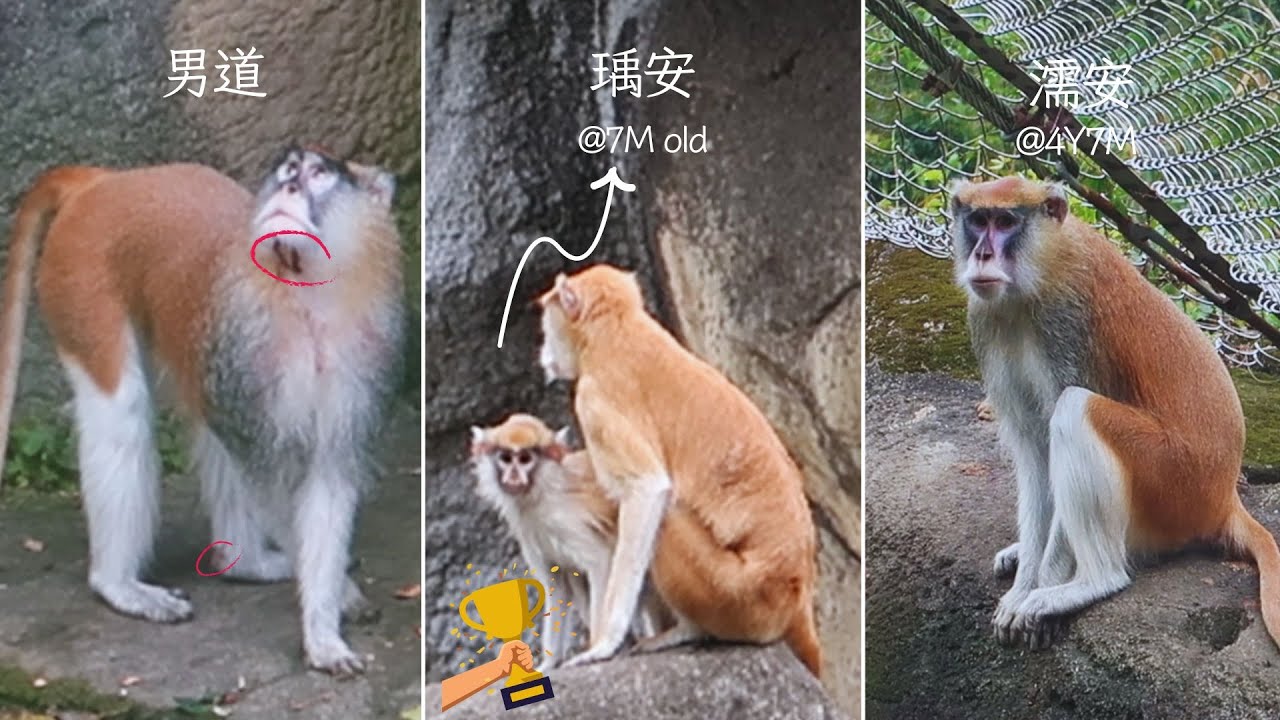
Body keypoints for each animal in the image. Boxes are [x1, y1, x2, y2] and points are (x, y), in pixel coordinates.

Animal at [0, 146, 405, 675]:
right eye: (288, 169)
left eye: (318, 174)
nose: (290, 186)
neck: (304, 297)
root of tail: (104, 183)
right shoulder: (242, 356)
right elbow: (267, 477)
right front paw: (340, 601)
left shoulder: (356, 367)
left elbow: (327, 479)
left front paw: (325, 627)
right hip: (79, 282)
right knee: (123, 415)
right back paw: (119, 584)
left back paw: (248, 564)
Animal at [469, 412, 668, 671]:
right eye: (505, 458)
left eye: (525, 459)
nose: (513, 476)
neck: (540, 492)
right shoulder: (527, 529)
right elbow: (557, 585)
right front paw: (548, 664)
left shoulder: (565, 520)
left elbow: (600, 563)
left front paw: (599, 647)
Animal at [535, 264, 823, 677]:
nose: (543, 353)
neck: (615, 329)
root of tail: (797, 595)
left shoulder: (595, 400)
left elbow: (648, 490)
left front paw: (604, 645)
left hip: (737, 596)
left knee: (668, 516)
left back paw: (684, 631)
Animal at [950, 175, 1280, 650]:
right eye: (978, 221)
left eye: (1006, 222)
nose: (982, 254)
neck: (1043, 267)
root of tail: (1223, 498)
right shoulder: (988, 320)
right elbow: (1032, 451)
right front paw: (1022, 583)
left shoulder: (1070, 323)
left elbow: (1057, 424)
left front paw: (1039, 590)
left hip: (1174, 485)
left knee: (1075, 410)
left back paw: (1093, 582)